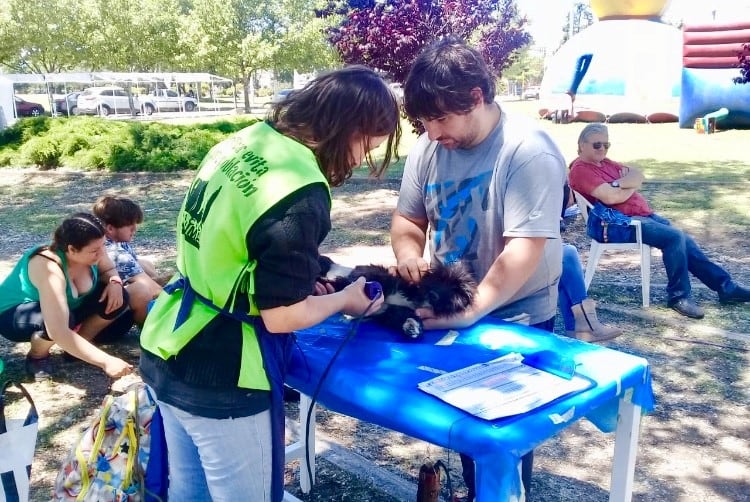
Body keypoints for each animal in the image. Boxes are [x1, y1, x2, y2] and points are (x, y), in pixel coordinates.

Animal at [320, 256, 478, 340]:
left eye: (458, 292)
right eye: (441, 278)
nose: (434, 294)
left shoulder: (393, 312)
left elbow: (406, 318)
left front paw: (412, 328)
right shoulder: (384, 279)